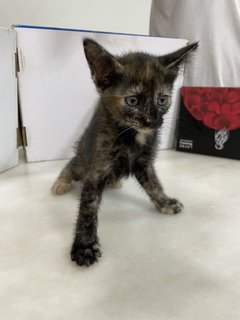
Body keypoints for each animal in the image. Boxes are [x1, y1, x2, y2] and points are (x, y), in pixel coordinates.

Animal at [51, 37, 198, 266]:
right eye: (133, 100)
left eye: (162, 99)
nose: (153, 121)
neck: (132, 136)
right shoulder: (96, 169)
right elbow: (88, 207)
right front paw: (84, 245)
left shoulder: (145, 163)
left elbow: (154, 184)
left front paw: (164, 202)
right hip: (83, 158)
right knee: (72, 164)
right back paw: (61, 182)